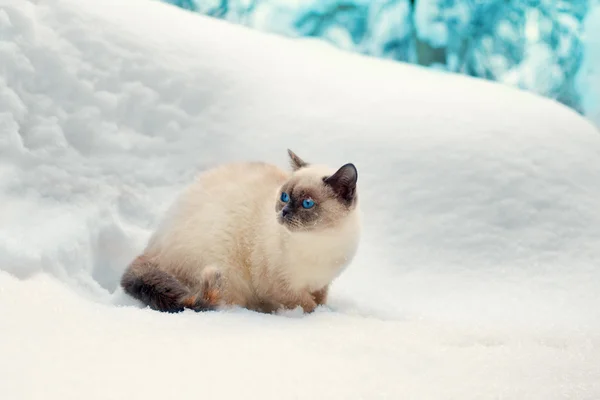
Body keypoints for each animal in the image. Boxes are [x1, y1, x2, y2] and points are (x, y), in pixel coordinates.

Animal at [119, 148, 358, 314]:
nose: (284, 212)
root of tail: (151, 249)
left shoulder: (321, 284)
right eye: (284, 197)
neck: (321, 241)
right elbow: (306, 306)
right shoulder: (280, 288)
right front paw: (317, 316)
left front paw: (324, 311)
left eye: (307, 203)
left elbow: (319, 300)